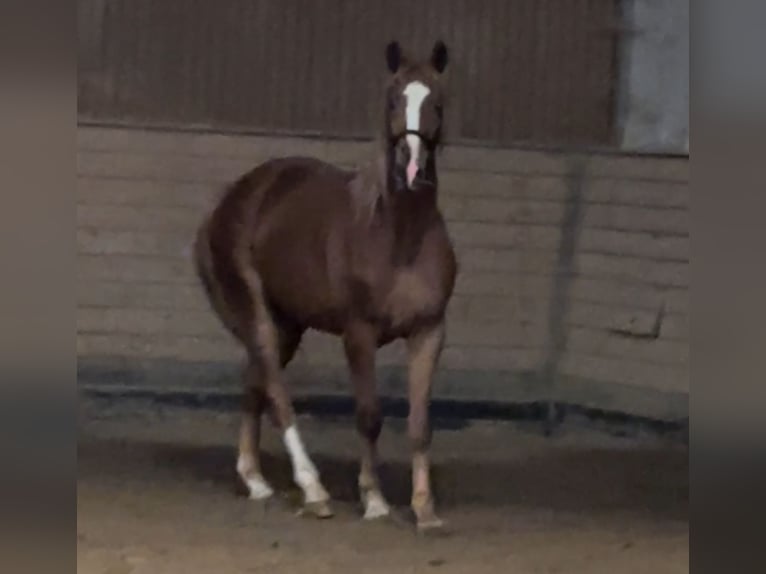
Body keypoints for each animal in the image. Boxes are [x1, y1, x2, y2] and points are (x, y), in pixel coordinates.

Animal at [195, 40, 460, 536]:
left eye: (437, 102)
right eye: (392, 100)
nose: (412, 167)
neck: (399, 237)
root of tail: (232, 200)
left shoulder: (429, 331)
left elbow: (421, 424)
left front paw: (425, 510)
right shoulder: (359, 333)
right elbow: (369, 416)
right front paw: (374, 500)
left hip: (287, 325)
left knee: (256, 384)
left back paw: (255, 479)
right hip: (256, 312)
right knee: (276, 391)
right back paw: (313, 489)